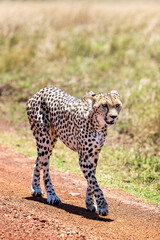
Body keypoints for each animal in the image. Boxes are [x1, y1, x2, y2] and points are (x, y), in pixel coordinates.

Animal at [26, 86, 122, 216]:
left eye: (117, 105)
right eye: (104, 105)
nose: (113, 116)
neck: (98, 124)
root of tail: (42, 90)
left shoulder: (94, 155)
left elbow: (91, 181)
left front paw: (90, 202)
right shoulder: (84, 158)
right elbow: (94, 182)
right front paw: (102, 205)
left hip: (50, 140)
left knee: (38, 160)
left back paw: (35, 187)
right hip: (44, 138)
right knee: (45, 167)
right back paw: (52, 195)